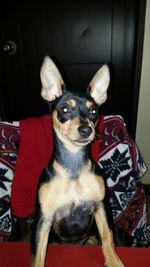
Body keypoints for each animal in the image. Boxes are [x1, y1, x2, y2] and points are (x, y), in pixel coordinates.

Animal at [30, 57, 124, 267]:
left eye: (93, 111)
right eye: (64, 109)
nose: (85, 130)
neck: (73, 171)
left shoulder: (101, 207)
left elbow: (108, 238)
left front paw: (113, 261)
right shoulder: (43, 219)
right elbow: (38, 255)